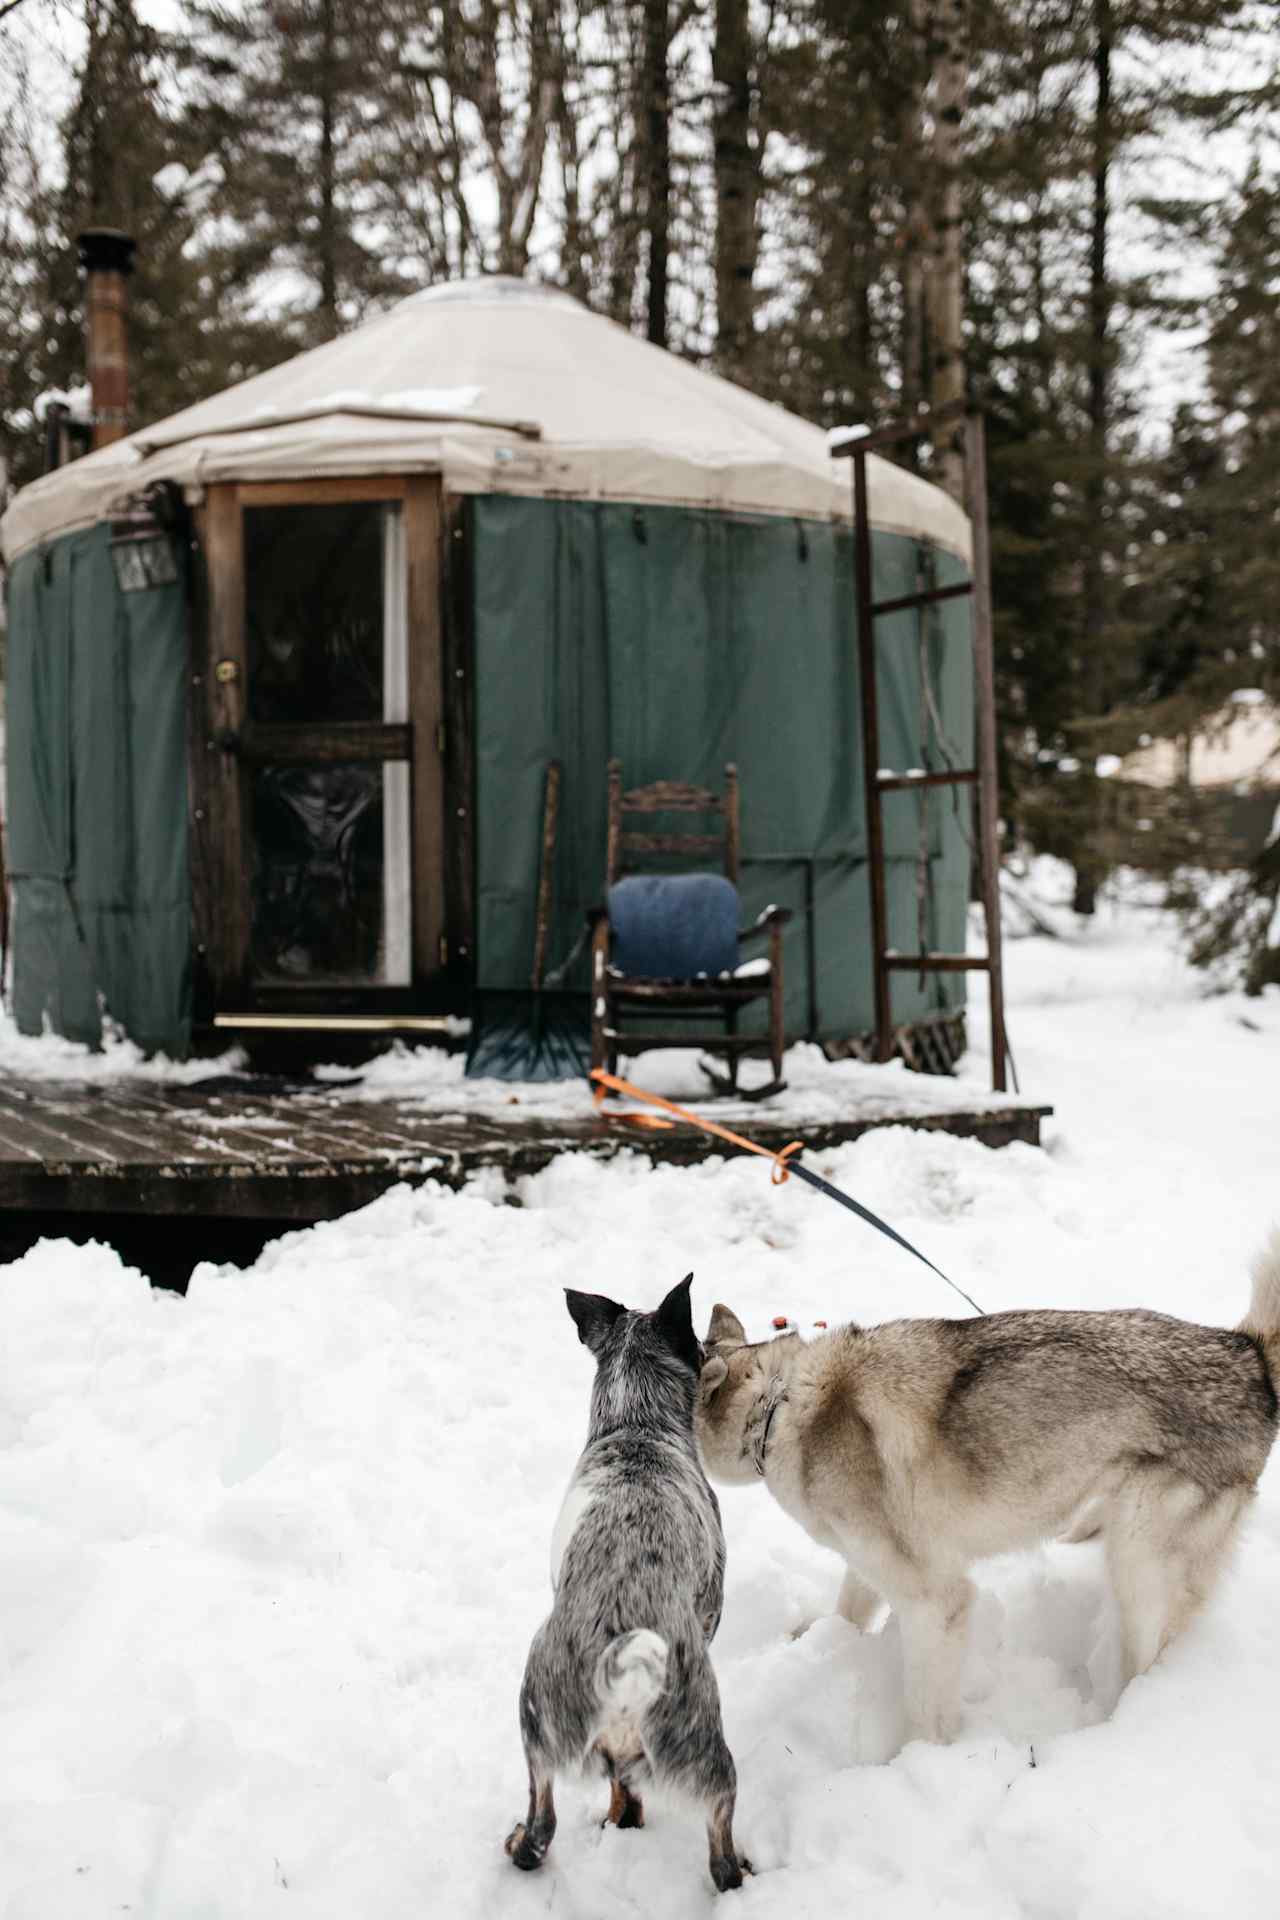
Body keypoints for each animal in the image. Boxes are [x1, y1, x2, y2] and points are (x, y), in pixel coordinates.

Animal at [506, 1274, 752, 1889]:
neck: (636, 1424)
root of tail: (621, 1670)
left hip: (537, 1729)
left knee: (542, 1825)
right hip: (705, 1752)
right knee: (719, 1850)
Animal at [702, 1228, 1280, 1743]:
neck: (776, 1405)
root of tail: (1247, 1356)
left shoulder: (937, 1600)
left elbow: (926, 1712)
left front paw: (919, 1761)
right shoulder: (872, 1560)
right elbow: (849, 1606)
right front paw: (820, 1640)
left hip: (1139, 1564)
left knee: (1146, 1663)